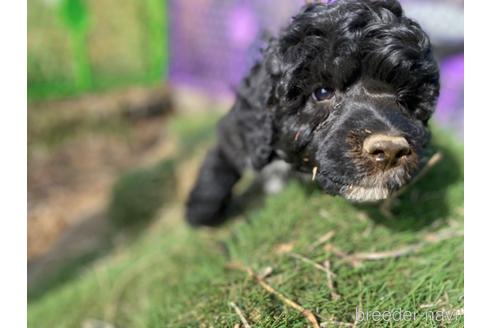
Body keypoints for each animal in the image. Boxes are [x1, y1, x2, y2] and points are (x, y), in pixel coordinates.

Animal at [184, 0, 438, 226]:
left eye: (404, 99)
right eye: (323, 92)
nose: (391, 149)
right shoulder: (239, 131)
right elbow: (219, 161)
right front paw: (200, 209)